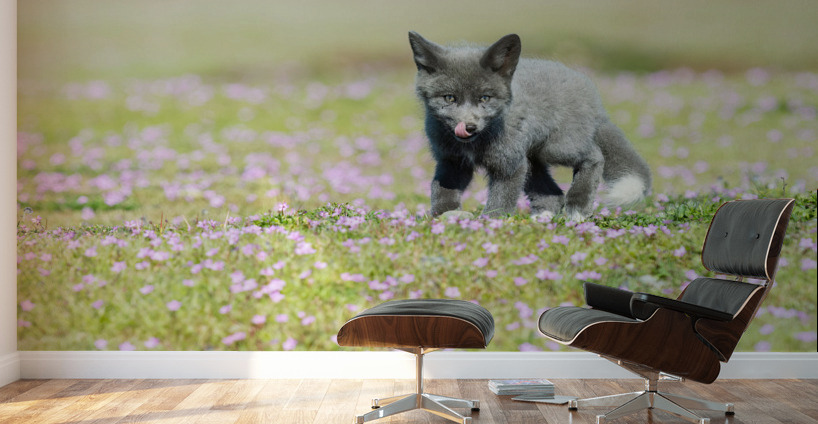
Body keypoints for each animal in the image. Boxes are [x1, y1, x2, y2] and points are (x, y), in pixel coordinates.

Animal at [409, 32, 652, 221]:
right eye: (449, 98)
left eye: (485, 98)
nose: (468, 126)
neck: (475, 144)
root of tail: (590, 92)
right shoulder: (451, 161)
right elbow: (440, 189)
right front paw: (444, 215)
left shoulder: (510, 165)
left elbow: (501, 200)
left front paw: (489, 225)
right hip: (533, 160)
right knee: (553, 195)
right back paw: (542, 218)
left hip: (556, 149)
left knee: (595, 156)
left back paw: (578, 207)